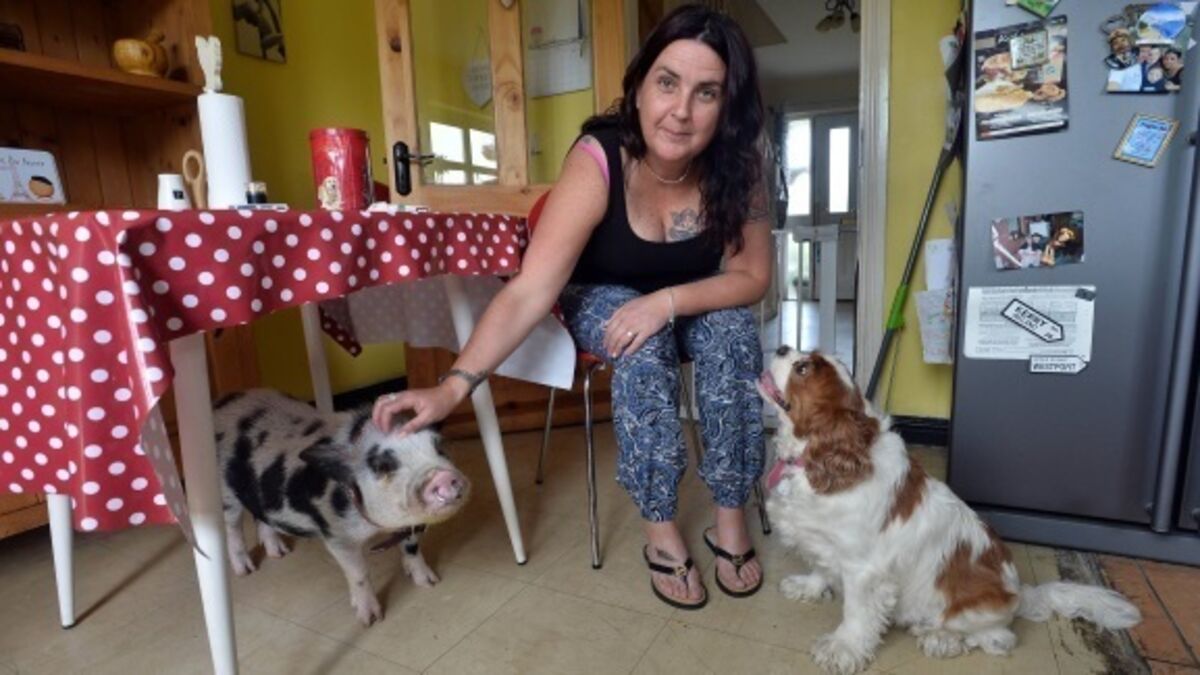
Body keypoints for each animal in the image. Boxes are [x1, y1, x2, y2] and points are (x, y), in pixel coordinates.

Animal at [214, 389, 469, 626]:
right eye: (383, 466)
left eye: (439, 447)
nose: (442, 477)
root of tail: (220, 403)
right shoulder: (336, 534)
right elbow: (358, 573)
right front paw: (370, 620)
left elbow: (412, 548)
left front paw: (430, 583)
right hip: (225, 494)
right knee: (233, 528)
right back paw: (246, 571)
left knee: (260, 516)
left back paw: (280, 554)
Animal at [757, 347, 1140, 674]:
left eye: (802, 368)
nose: (782, 347)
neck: (824, 458)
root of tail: (1020, 593)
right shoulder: (821, 540)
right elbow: (820, 566)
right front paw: (809, 586)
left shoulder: (863, 569)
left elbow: (855, 614)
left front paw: (843, 648)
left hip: (973, 611)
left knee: (996, 639)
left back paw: (940, 638)